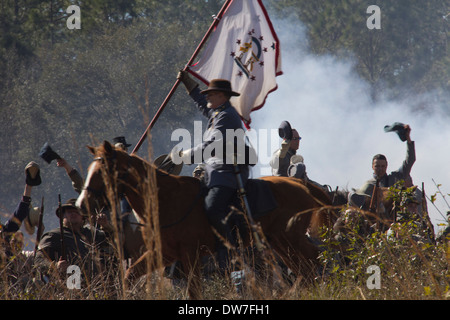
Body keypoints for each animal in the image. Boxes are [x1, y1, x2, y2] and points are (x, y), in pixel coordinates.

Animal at [76, 141, 330, 298]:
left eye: (102, 171)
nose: (81, 204)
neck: (165, 199)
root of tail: (301, 185)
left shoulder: (191, 256)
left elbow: (194, 291)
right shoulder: (162, 254)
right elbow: (128, 277)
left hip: (288, 239)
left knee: (312, 263)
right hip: (280, 243)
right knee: (305, 269)